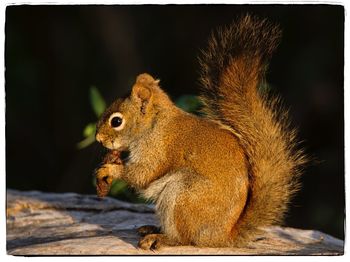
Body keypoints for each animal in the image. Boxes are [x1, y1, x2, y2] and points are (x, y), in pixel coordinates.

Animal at [94, 14, 304, 250]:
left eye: (116, 121)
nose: (98, 138)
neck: (155, 124)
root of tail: (220, 237)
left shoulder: (157, 149)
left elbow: (143, 175)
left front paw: (110, 170)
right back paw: (153, 228)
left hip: (183, 195)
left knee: (185, 239)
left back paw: (161, 238)